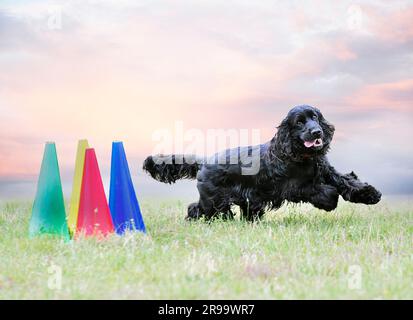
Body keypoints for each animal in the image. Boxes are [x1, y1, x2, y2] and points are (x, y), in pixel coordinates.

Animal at [143, 105, 382, 220]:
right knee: (198, 208)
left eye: (315, 116)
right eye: (299, 122)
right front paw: (330, 200)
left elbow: (346, 181)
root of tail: (204, 161)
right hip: (213, 199)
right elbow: (317, 190)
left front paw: (371, 194)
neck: (300, 155)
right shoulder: (291, 187)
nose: (317, 132)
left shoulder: (326, 171)